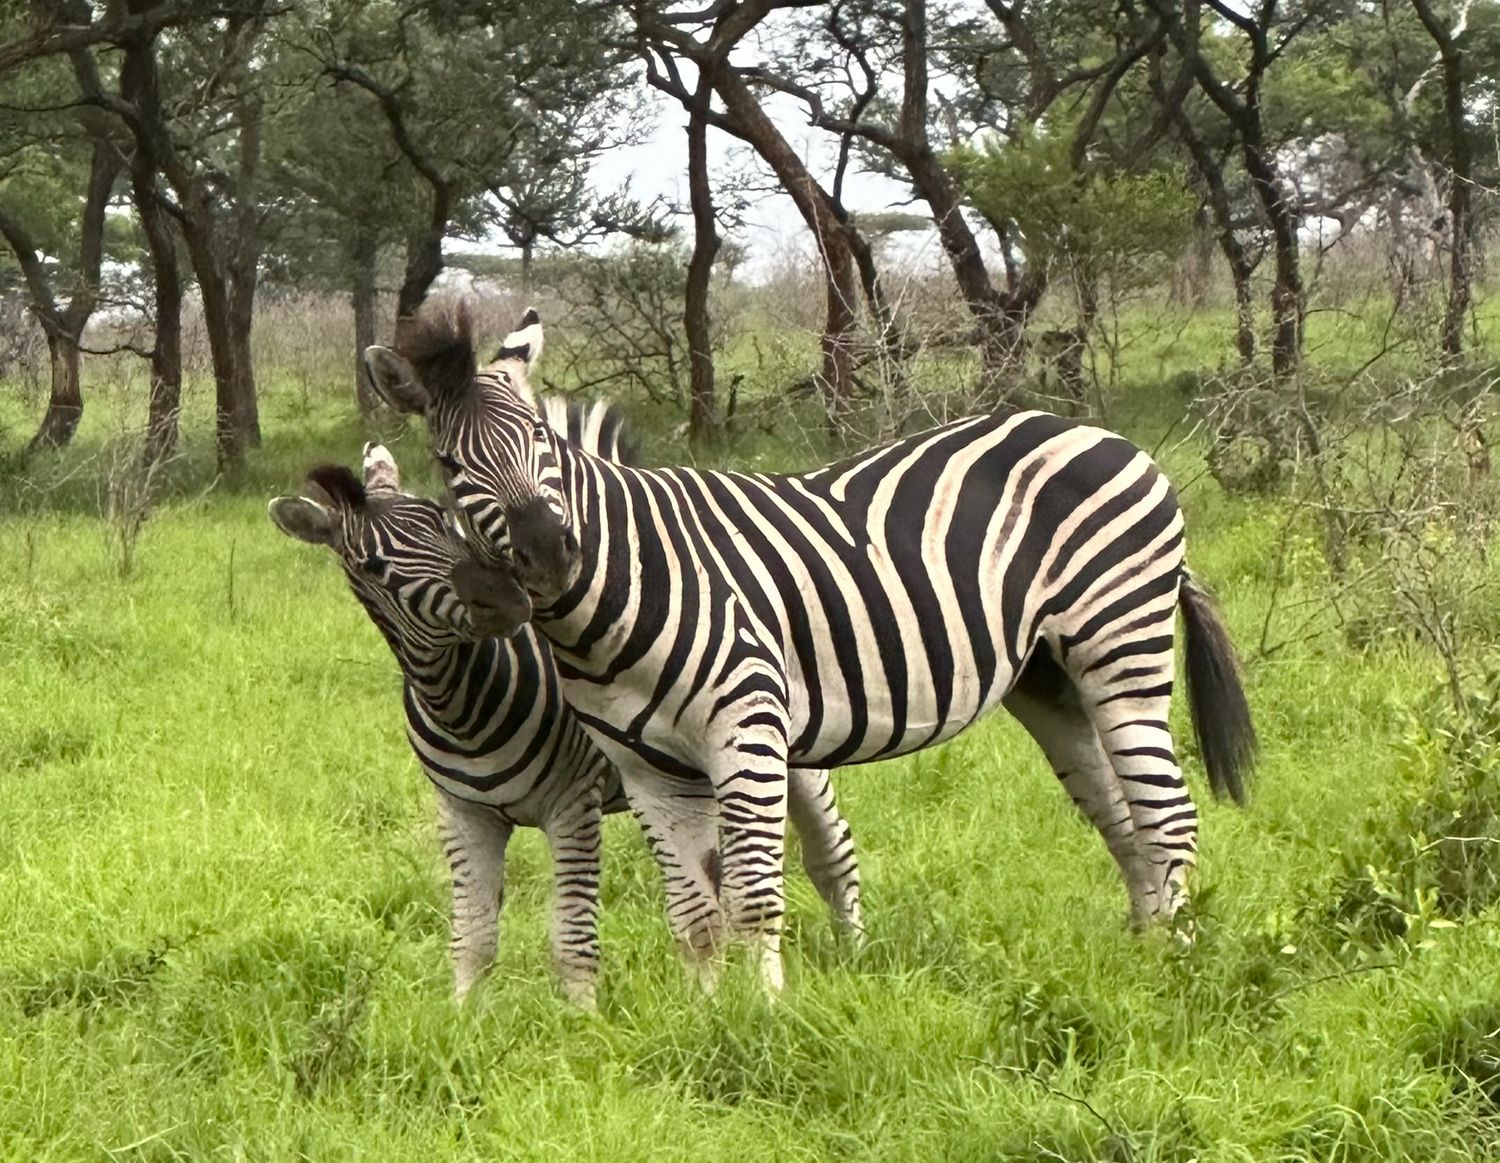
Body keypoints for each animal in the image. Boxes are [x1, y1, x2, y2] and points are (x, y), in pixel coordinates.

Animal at [267, 412, 862, 1004]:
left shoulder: (573, 803)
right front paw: (461, 1019)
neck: (459, 705)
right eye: (372, 566)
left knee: (831, 854)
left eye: (443, 521)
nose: (508, 600)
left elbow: (572, 938)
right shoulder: (464, 813)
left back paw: (853, 960)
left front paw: (584, 1019)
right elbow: (472, 939)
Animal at [363, 303, 1257, 992]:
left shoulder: (747, 729)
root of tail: (1100, 434)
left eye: (541, 445)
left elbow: (757, 896)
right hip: (1048, 678)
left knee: (1167, 815)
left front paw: (764, 1018)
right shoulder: (648, 770)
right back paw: (1142, 952)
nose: (550, 556)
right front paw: (703, 1019)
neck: (614, 599)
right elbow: (693, 914)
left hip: (1120, 641)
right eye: (449, 464)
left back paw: (1178, 964)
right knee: (1119, 814)